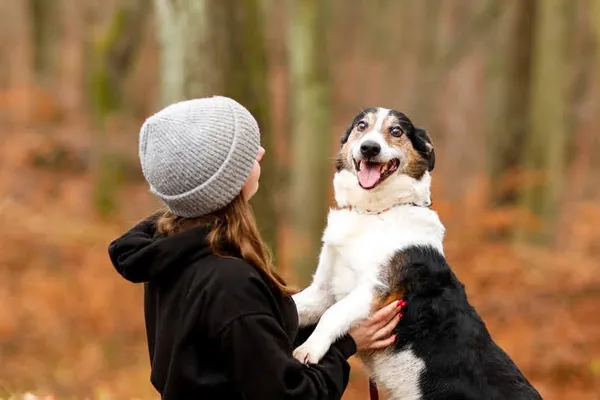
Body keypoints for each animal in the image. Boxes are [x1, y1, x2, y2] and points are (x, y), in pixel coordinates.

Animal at [292, 108, 544, 398]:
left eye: (396, 131)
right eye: (362, 126)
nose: (369, 148)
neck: (372, 213)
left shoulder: (376, 291)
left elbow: (333, 314)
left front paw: (309, 349)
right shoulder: (322, 291)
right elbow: (297, 305)